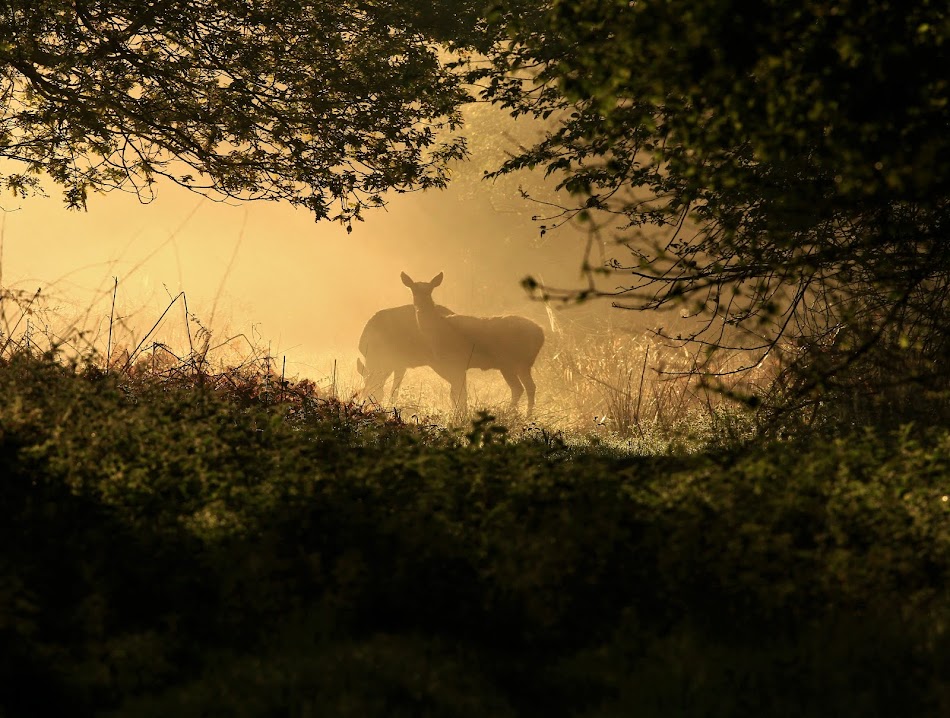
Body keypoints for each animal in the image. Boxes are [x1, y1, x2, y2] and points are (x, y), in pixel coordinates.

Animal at [402, 270, 548, 416]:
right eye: (413, 290)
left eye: (429, 290)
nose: (420, 306)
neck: (438, 331)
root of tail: (541, 333)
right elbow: (456, 394)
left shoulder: (457, 362)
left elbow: (459, 394)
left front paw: (460, 415)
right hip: (517, 364)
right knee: (524, 387)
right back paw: (520, 413)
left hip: (514, 362)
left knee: (523, 387)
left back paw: (518, 413)